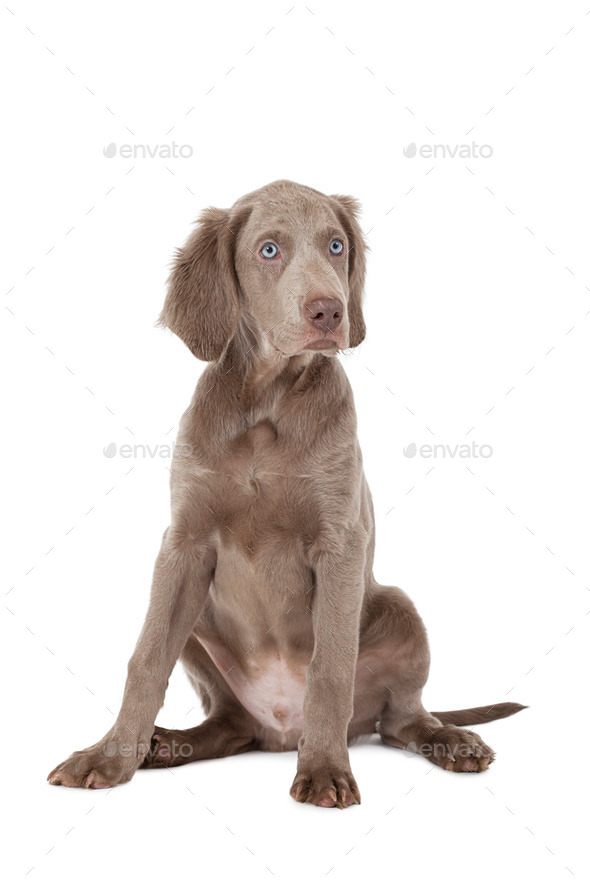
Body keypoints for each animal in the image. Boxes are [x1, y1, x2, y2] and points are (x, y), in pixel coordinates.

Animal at [48, 180, 524, 808]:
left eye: (336, 245)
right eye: (269, 250)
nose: (330, 311)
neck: (266, 402)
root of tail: (278, 732)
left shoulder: (340, 544)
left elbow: (330, 669)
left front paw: (324, 769)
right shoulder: (183, 545)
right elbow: (146, 658)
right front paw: (108, 755)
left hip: (399, 611)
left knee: (401, 720)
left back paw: (450, 741)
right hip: (201, 625)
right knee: (228, 725)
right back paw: (167, 744)